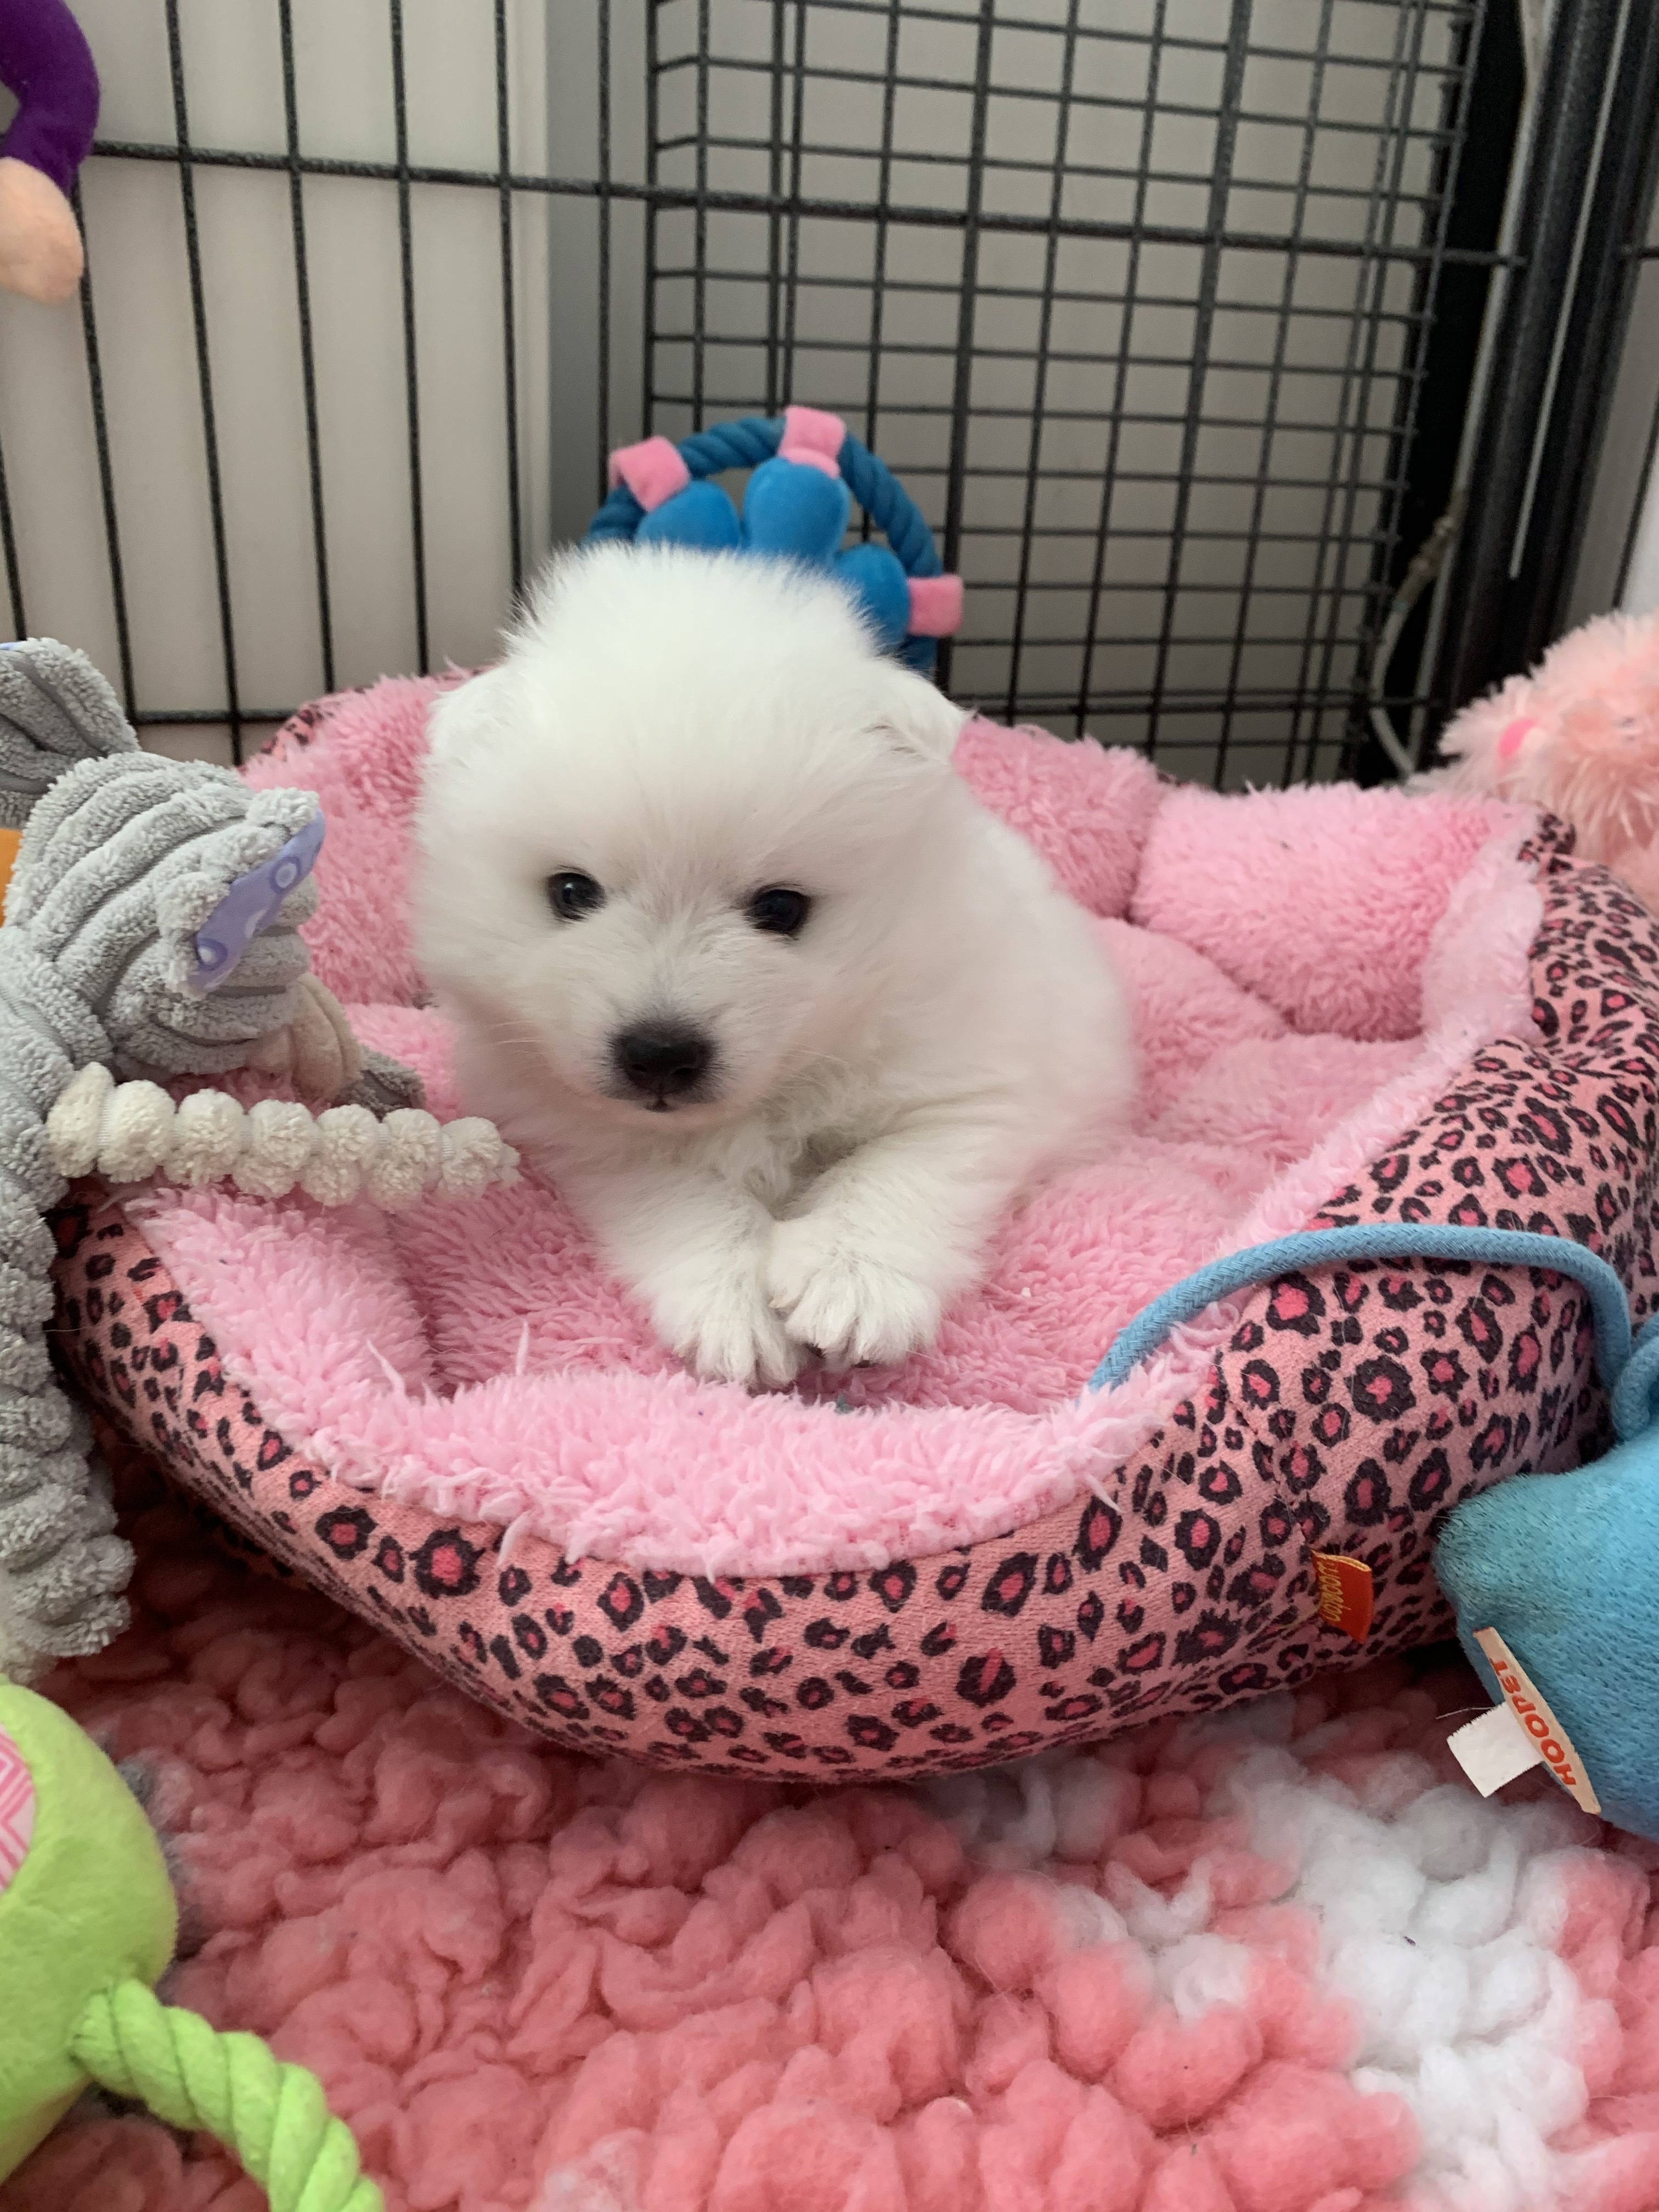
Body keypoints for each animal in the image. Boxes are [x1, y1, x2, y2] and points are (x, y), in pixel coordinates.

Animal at [414, 542, 1133, 1388]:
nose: (659, 1055)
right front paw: (736, 1310)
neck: (779, 1090)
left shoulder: (974, 1089)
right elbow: (680, 1198)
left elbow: (903, 1170)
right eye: (570, 892)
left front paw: (851, 1285)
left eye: (783, 909)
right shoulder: (588, 1131)